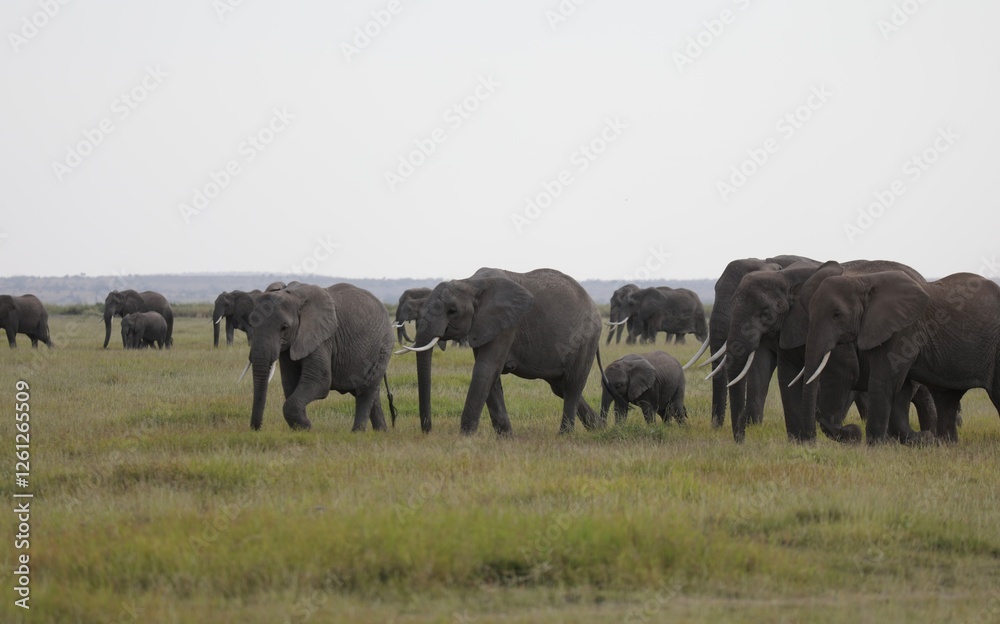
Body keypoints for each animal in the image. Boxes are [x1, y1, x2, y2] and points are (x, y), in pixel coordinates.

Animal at [245, 282, 397, 432]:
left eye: (284, 328)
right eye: (251, 324)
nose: (255, 428)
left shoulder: (323, 338)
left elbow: (319, 381)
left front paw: (307, 427)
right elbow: (290, 383)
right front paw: (301, 429)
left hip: (384, 346)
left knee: (366, 390)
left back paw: (357, 433)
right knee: (371, 392)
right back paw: (381, 432)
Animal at [396, 267, 604, 435]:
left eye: (452, 311)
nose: (427, 430)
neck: (470, 283)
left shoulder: (506, 324)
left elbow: (485, 369)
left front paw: (464, 437)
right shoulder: (484, 325)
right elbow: (491, 376)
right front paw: (506, 438)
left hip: (585, 339)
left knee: (572, 386)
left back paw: (564, 436)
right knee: (560, 387)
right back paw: (598, 427)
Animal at [723, 260, 936, 443]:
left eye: (766, 315)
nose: (741, 440)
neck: (786, 277)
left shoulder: (839, 336)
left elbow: (843, 374)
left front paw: (849, 435)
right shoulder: (789, 330)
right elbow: (787, 377)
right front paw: (800, 443)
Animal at [800, 269, 1000, 443]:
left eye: (837, 314)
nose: (852, 431)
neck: (862, 281)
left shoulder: (903, 330)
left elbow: (884, 382)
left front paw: (873, 448)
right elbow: (900, 388)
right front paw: (924, 439)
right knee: (946, 400)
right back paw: (945, 445)